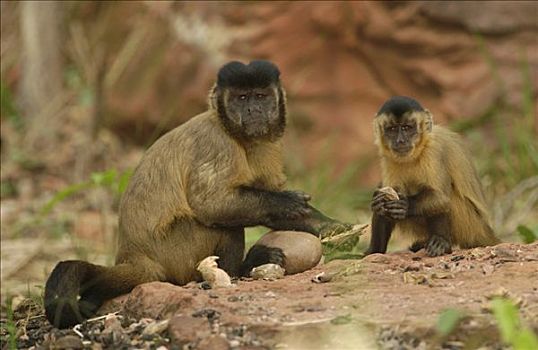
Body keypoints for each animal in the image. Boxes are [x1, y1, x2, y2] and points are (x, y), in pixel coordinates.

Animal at [45, 59, 348, 328]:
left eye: (260, 96)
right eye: (241, 97)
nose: (252, 109)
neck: (236, 135)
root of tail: (133, 255)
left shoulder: (267, 145)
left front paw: (337, 230)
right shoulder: (217, 143)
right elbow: (210, 205)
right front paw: (286, 203)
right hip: (177, 251)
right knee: (224, 225)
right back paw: (239, 270)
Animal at [364, 95, 498, 258]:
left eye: (407, 128)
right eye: (392, 129)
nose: (400, 141)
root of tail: (485, 229)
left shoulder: (433, 151)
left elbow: (440, 197)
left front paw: (405, 205)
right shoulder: (388, 158)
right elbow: (387, 193)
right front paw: (378, 202)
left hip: (471, 226)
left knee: (443, 199)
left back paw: (442, 243)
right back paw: (376, 251)